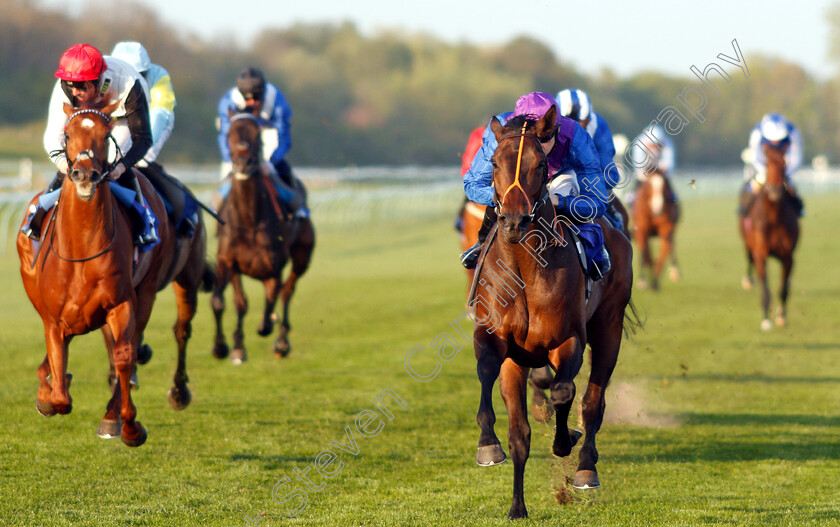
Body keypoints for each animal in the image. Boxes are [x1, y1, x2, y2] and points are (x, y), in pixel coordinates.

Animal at [210, 114, 316, 366]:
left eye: (257, 135)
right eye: (230, 133)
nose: (243, 164)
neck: (249, 220)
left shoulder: (272, 268)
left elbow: (270, 304)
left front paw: (268, 325)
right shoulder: (228, 262)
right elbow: (226, 302)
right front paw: (227, 348)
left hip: (302, 257)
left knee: (288, 291)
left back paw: (282, 343)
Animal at [472, 107, 636, 520]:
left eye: (541, 164)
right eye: (493, 162)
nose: (514, 222)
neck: (525, 272)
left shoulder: (569, 339)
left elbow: (565, 392)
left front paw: (565, 441)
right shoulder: (502, 346)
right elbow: (513, 423)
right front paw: (496, 461)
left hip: (609, 327)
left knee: (593, 401)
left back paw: (585, 467)